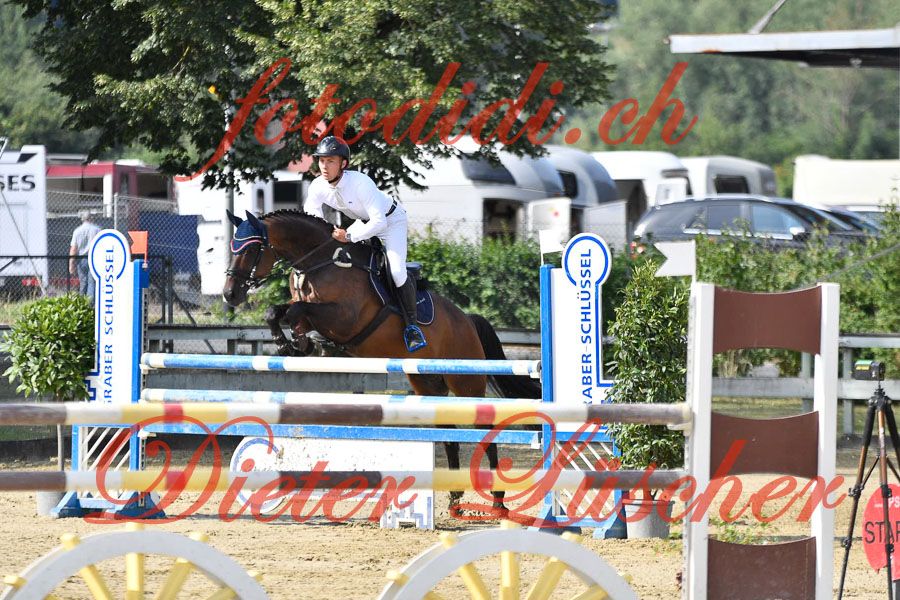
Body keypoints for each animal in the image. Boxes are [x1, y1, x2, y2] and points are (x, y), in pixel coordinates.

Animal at [222, 209, 541, 514]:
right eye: (233, 246)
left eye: (252, 249)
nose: (229, 294)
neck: (318, 262)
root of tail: (467, 319)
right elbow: (277, 311)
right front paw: (294, 343)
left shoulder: (344, 317)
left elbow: (297, 309)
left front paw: (299, 342)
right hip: (427, 383)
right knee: (449, 434)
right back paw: (454, 499)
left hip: (466, 382)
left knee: (486, 433)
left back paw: (498, 501)